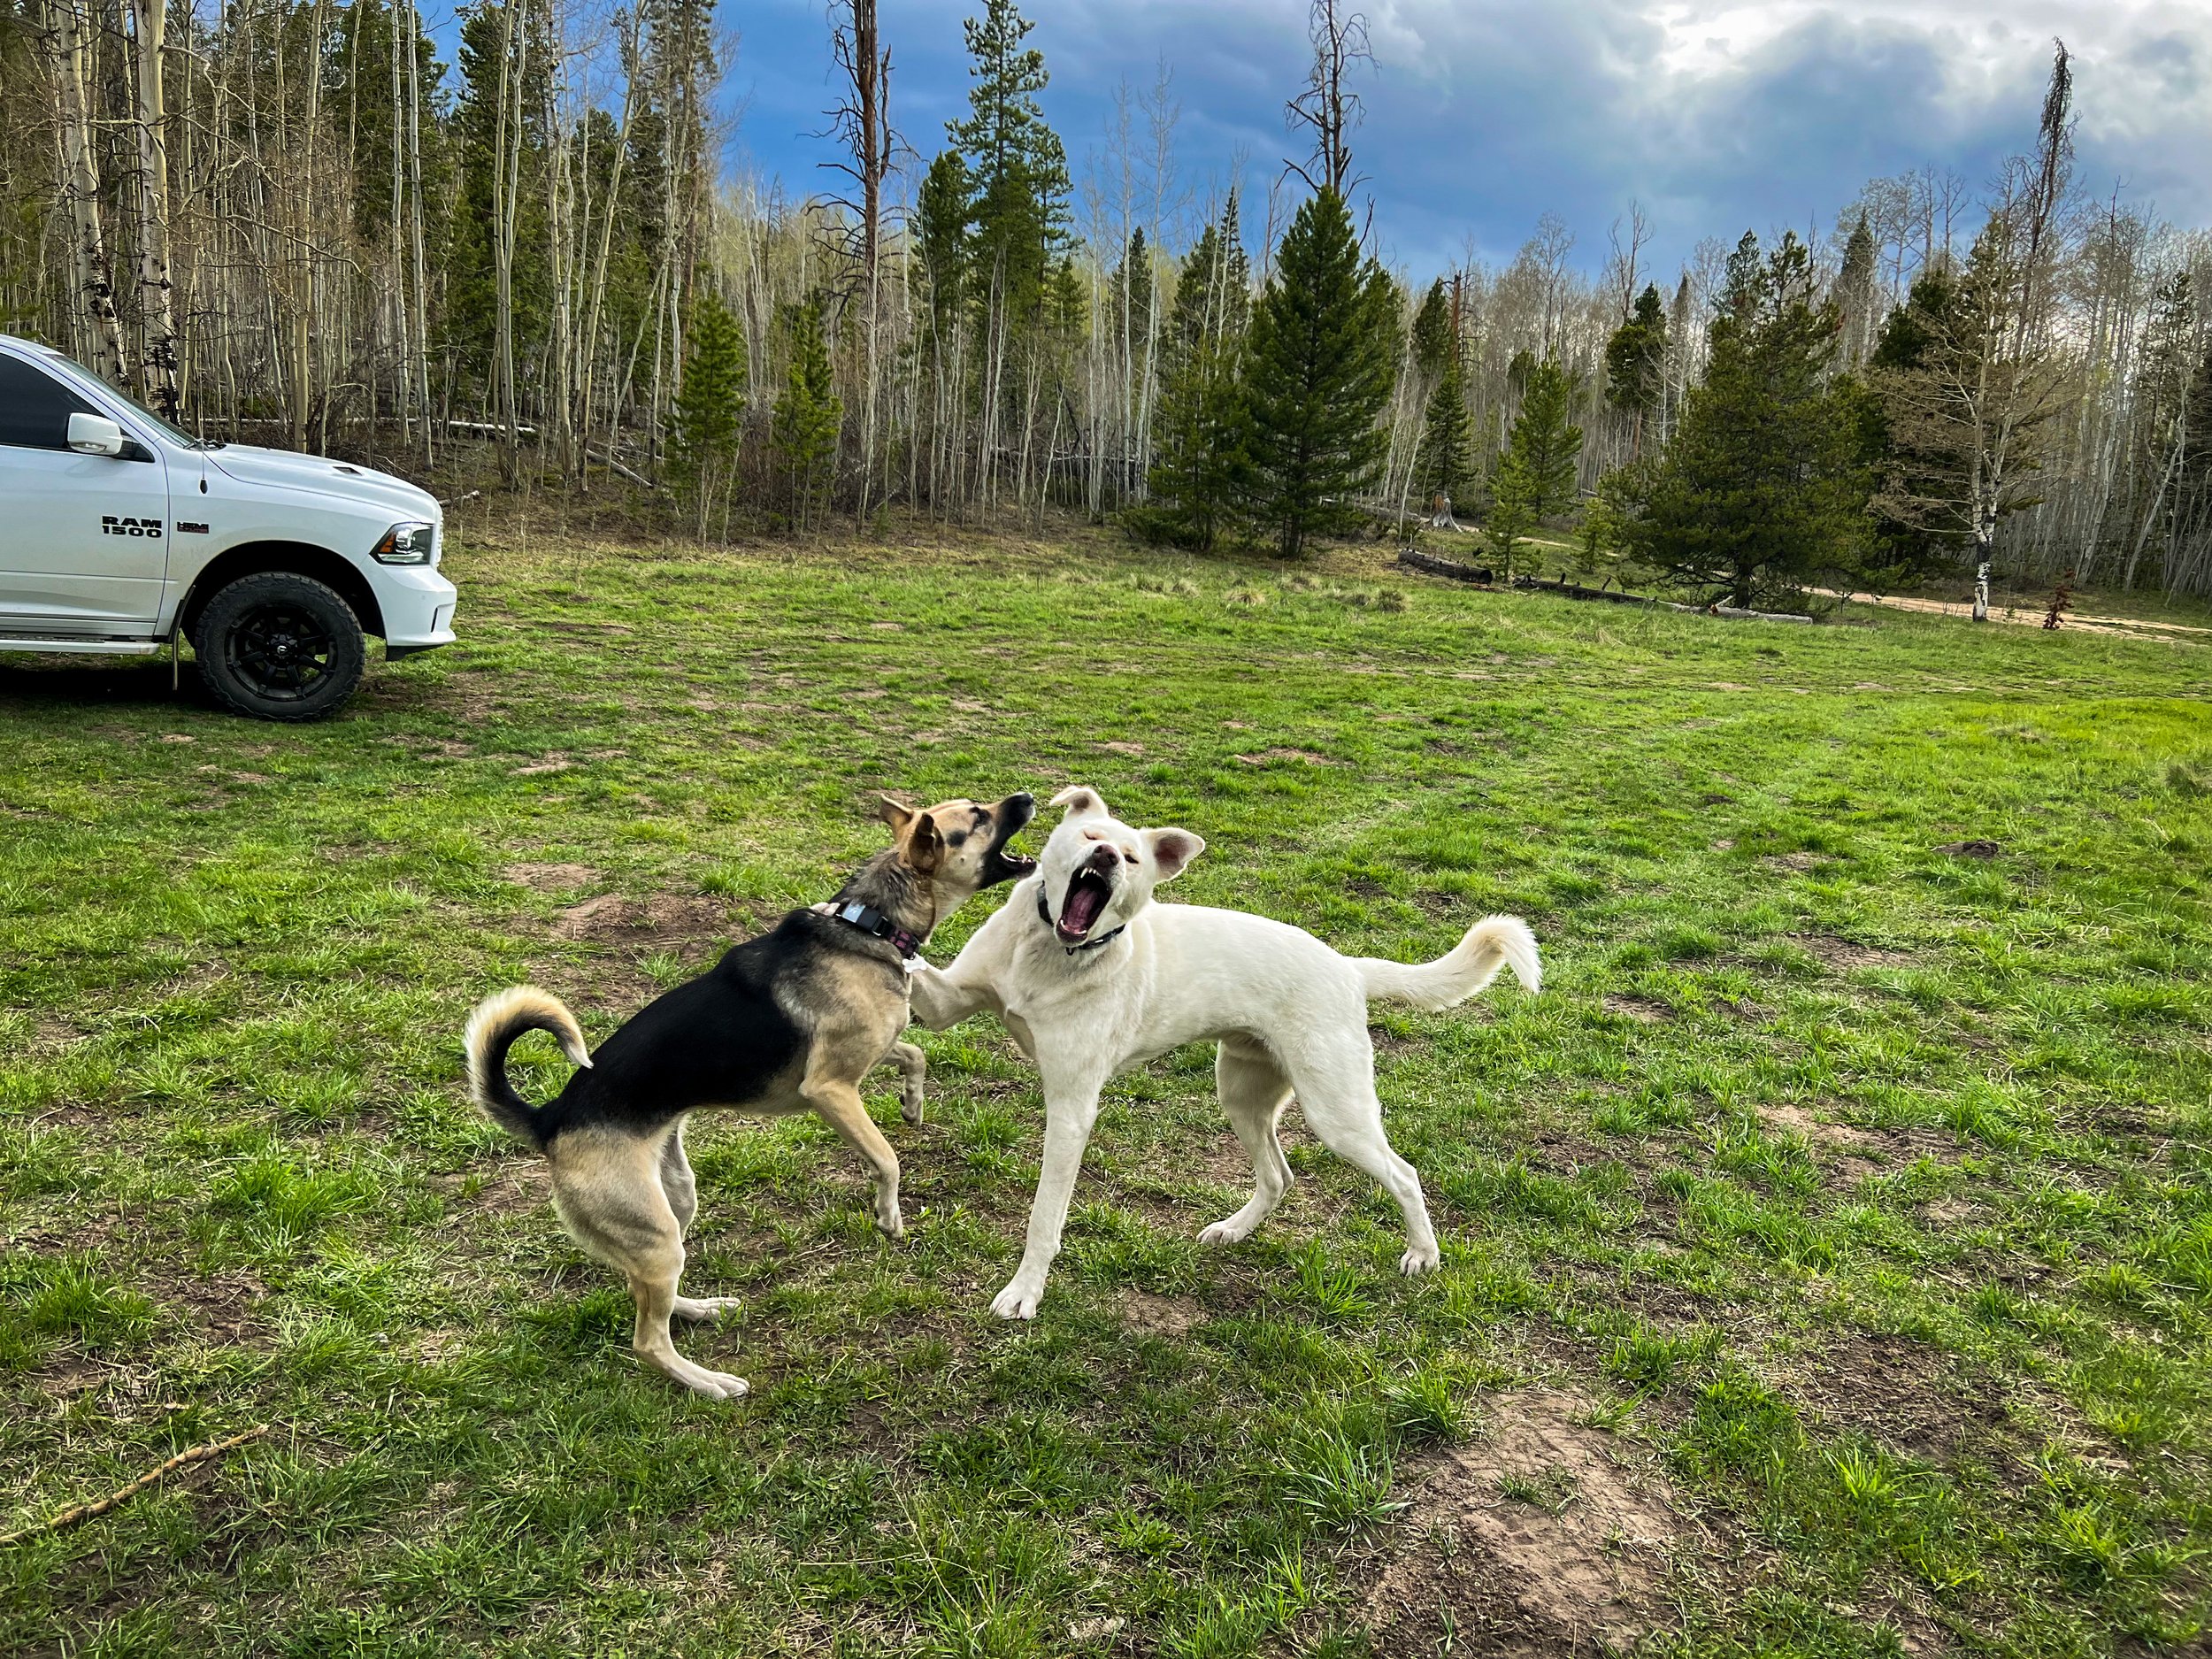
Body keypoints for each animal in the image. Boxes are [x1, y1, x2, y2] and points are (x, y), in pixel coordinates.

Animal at [460, 801, 1044, 1398]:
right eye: (978, 817)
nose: (1025, 797)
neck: (870, 923)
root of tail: (550, 1119)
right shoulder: (830, 1089)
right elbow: (887, 1159)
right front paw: (888, 1217)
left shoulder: (866, 1056)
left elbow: (913, 1055)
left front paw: (912, 1104)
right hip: (653, 1232)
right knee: (647, 1341)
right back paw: (709, 1382)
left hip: (674, 1203)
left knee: (645, 1295)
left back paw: (700, 1308)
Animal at [902, 787, 1540, 1318]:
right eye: (1090, 835)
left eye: (1133, 858)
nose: (1106, 857)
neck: (1048, 953)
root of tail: (1350, 968)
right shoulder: (947, 1003)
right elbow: (916, 971)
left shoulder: (1071, 1107)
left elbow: (1044, 1216)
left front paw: (1024, 1292)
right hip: (1241, 1094)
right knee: (1279, 1176)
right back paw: (1235, 1230)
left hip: (1337, 1113)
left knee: (1403, 1174)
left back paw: (1422, 1253)